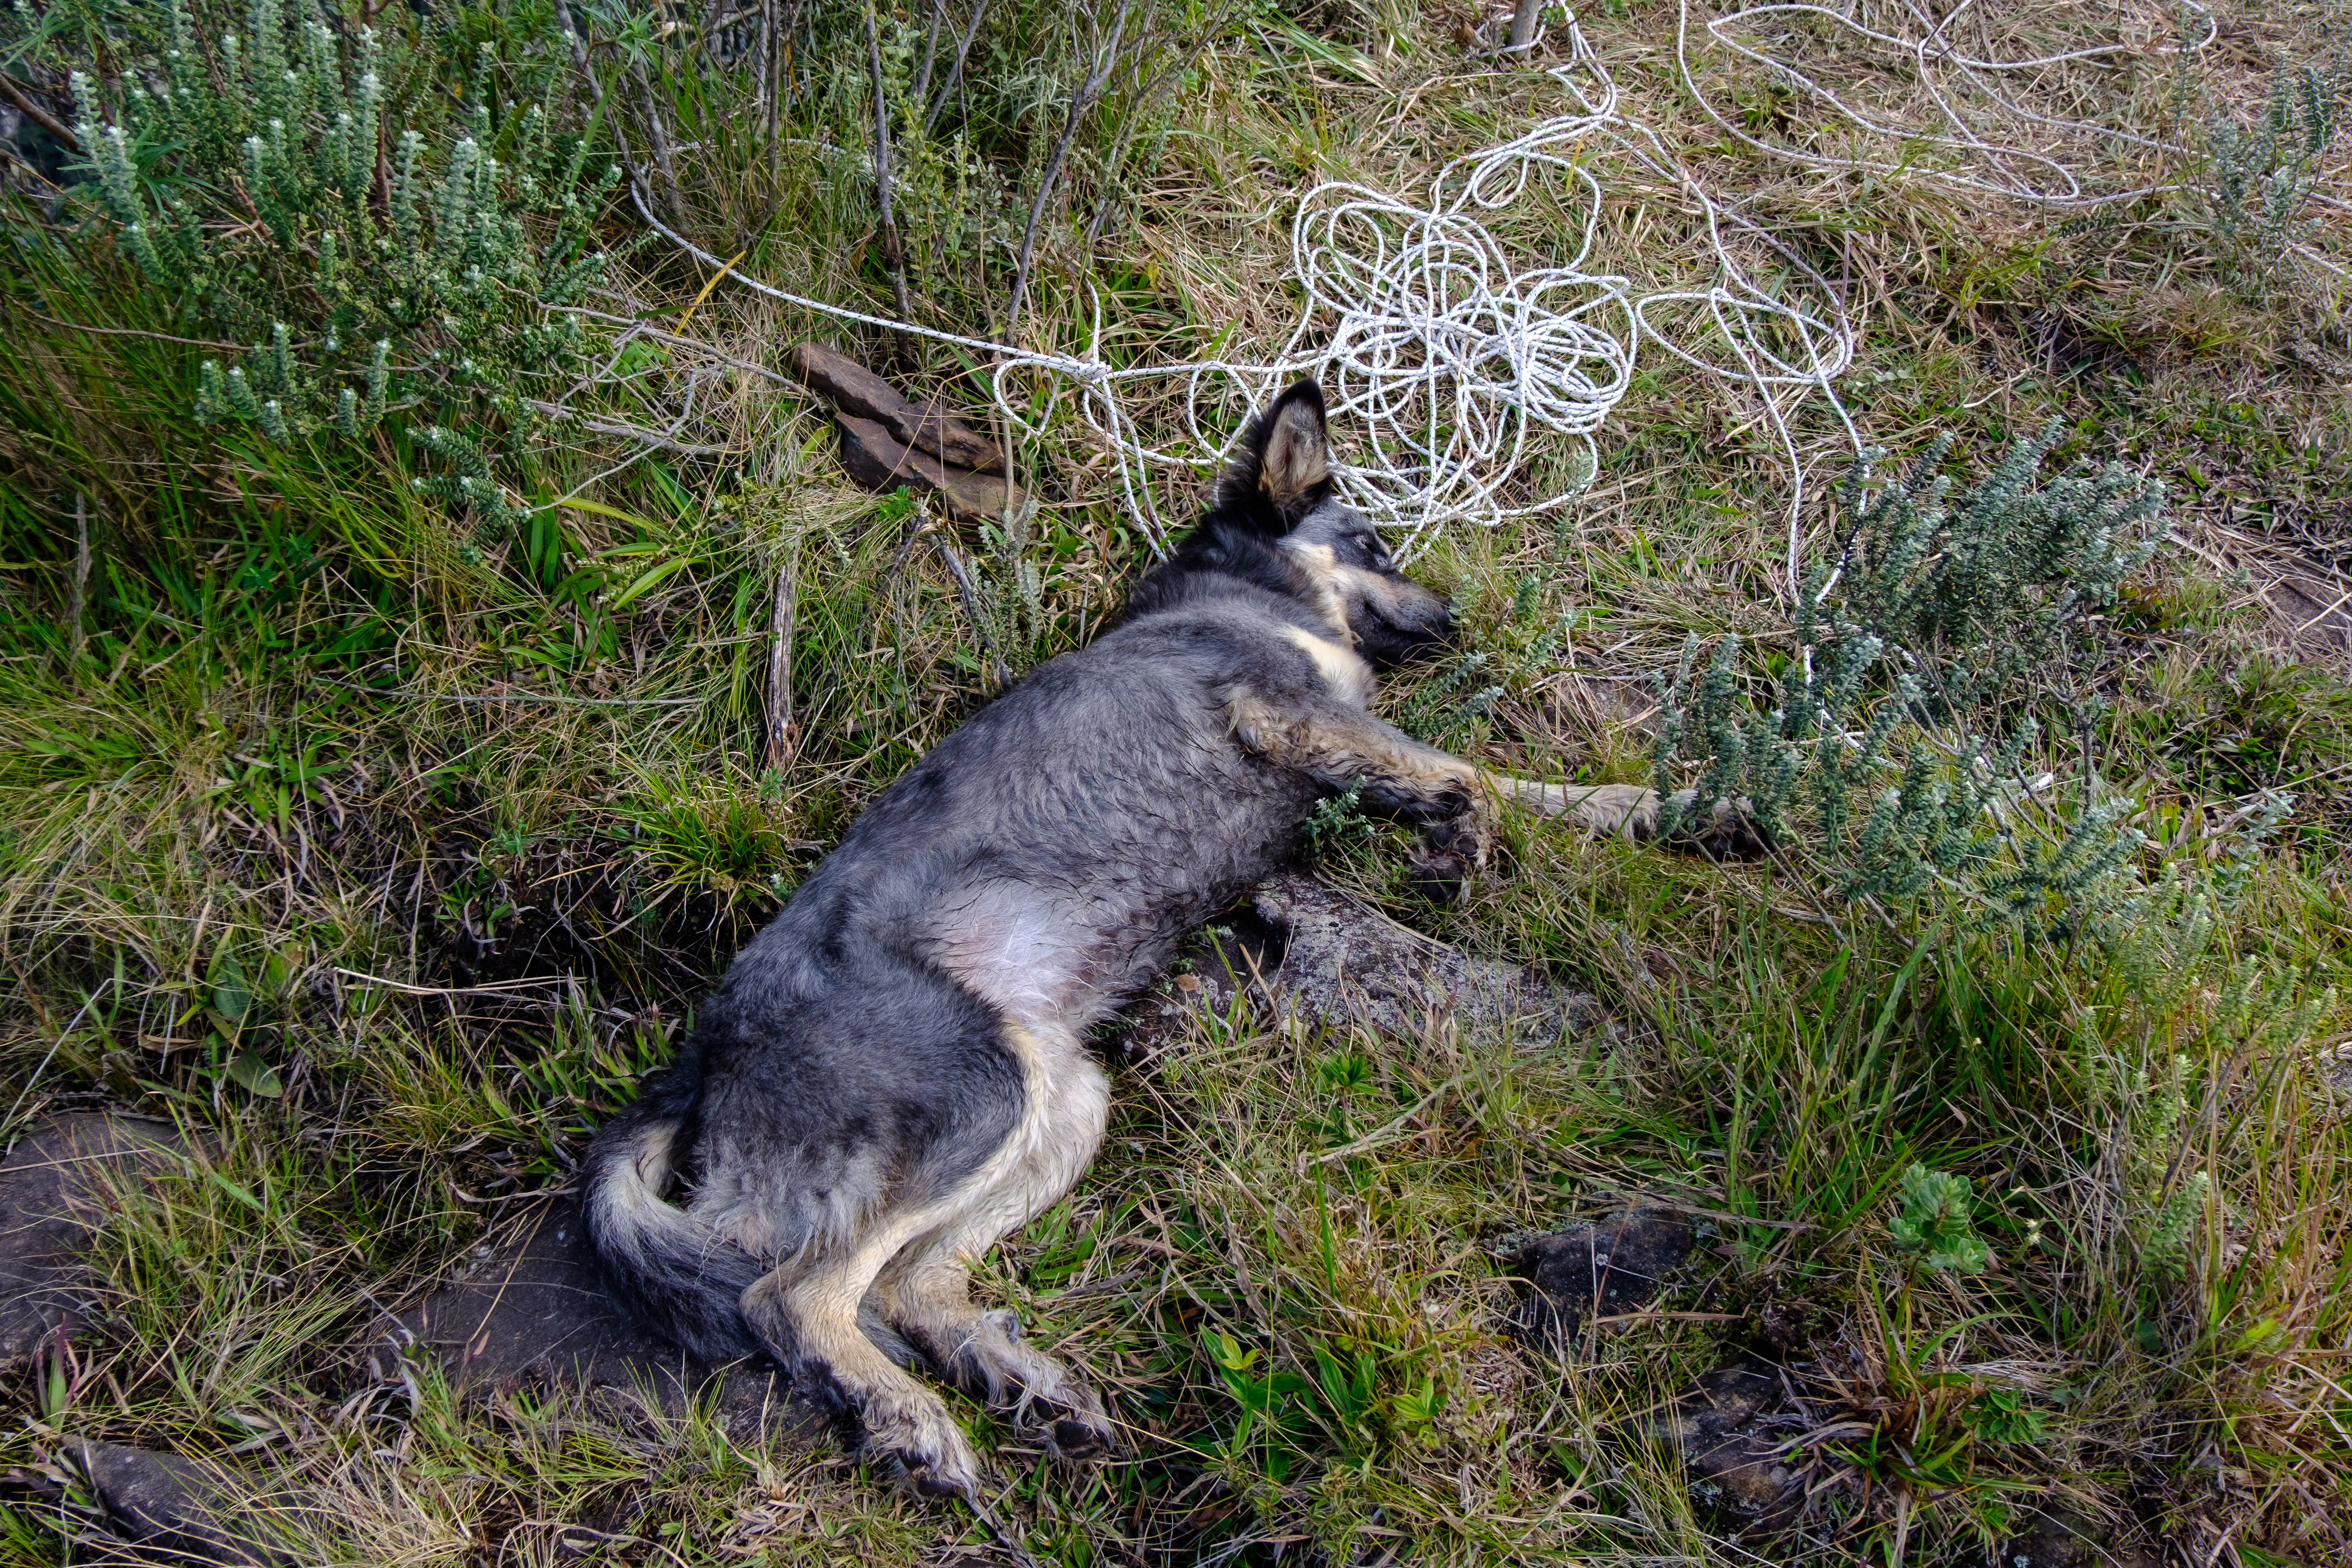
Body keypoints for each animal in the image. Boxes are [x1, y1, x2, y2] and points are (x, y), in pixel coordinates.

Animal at [583, 376, 1750, 1495]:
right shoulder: (1284, 709)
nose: (1458, 617)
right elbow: (1469, 777)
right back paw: (908, 1419)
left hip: (1062, 1104)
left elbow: (1544, 791)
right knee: (793, 1294)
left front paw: (1680, 811)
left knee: (911, 1281)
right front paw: (1464, 840)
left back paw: (1018, 1381)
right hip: (974, 1090)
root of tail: (697, 1065)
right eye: (1372, 542)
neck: (1246, 595)